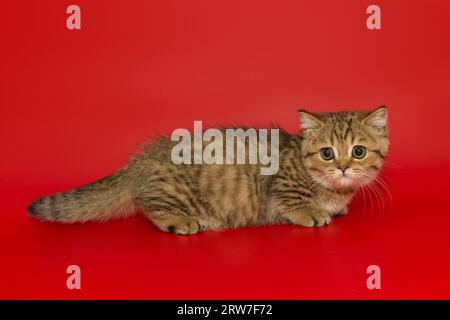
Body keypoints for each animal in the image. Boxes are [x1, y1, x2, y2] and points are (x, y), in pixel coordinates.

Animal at [28, 106, 388, 234]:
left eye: (358, 151)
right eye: (327, 154)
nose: (343, 167)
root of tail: (141, 160)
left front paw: (338, 208)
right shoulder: (280, 187)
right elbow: (294, 203)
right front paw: (313, 212)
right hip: (173, 192)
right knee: (152, 209)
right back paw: (181, 222)